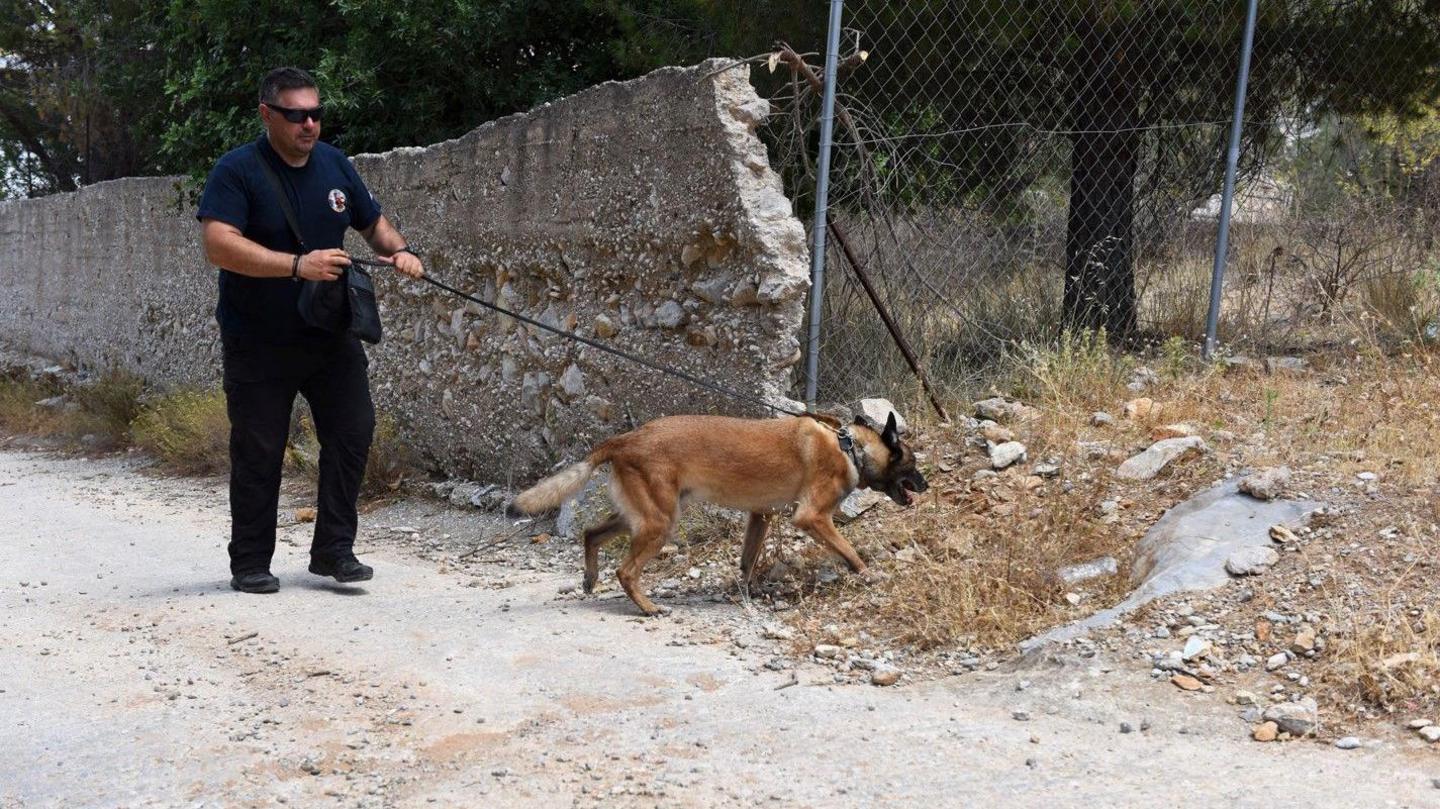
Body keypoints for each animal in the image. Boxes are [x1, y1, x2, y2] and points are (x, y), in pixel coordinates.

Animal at [512, 411, 927, 613]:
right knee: (626, 571)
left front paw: (746, 592)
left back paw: (589, 578)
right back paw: (647, 607)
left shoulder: (761, 516)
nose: (925, 486)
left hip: (643, 516)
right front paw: (866, 574)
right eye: (911, 463)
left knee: (591, 534)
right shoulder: (812, 517)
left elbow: (746, 562)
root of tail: (625, 439)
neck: (849, 448)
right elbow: (849, 551)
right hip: (660, 522)